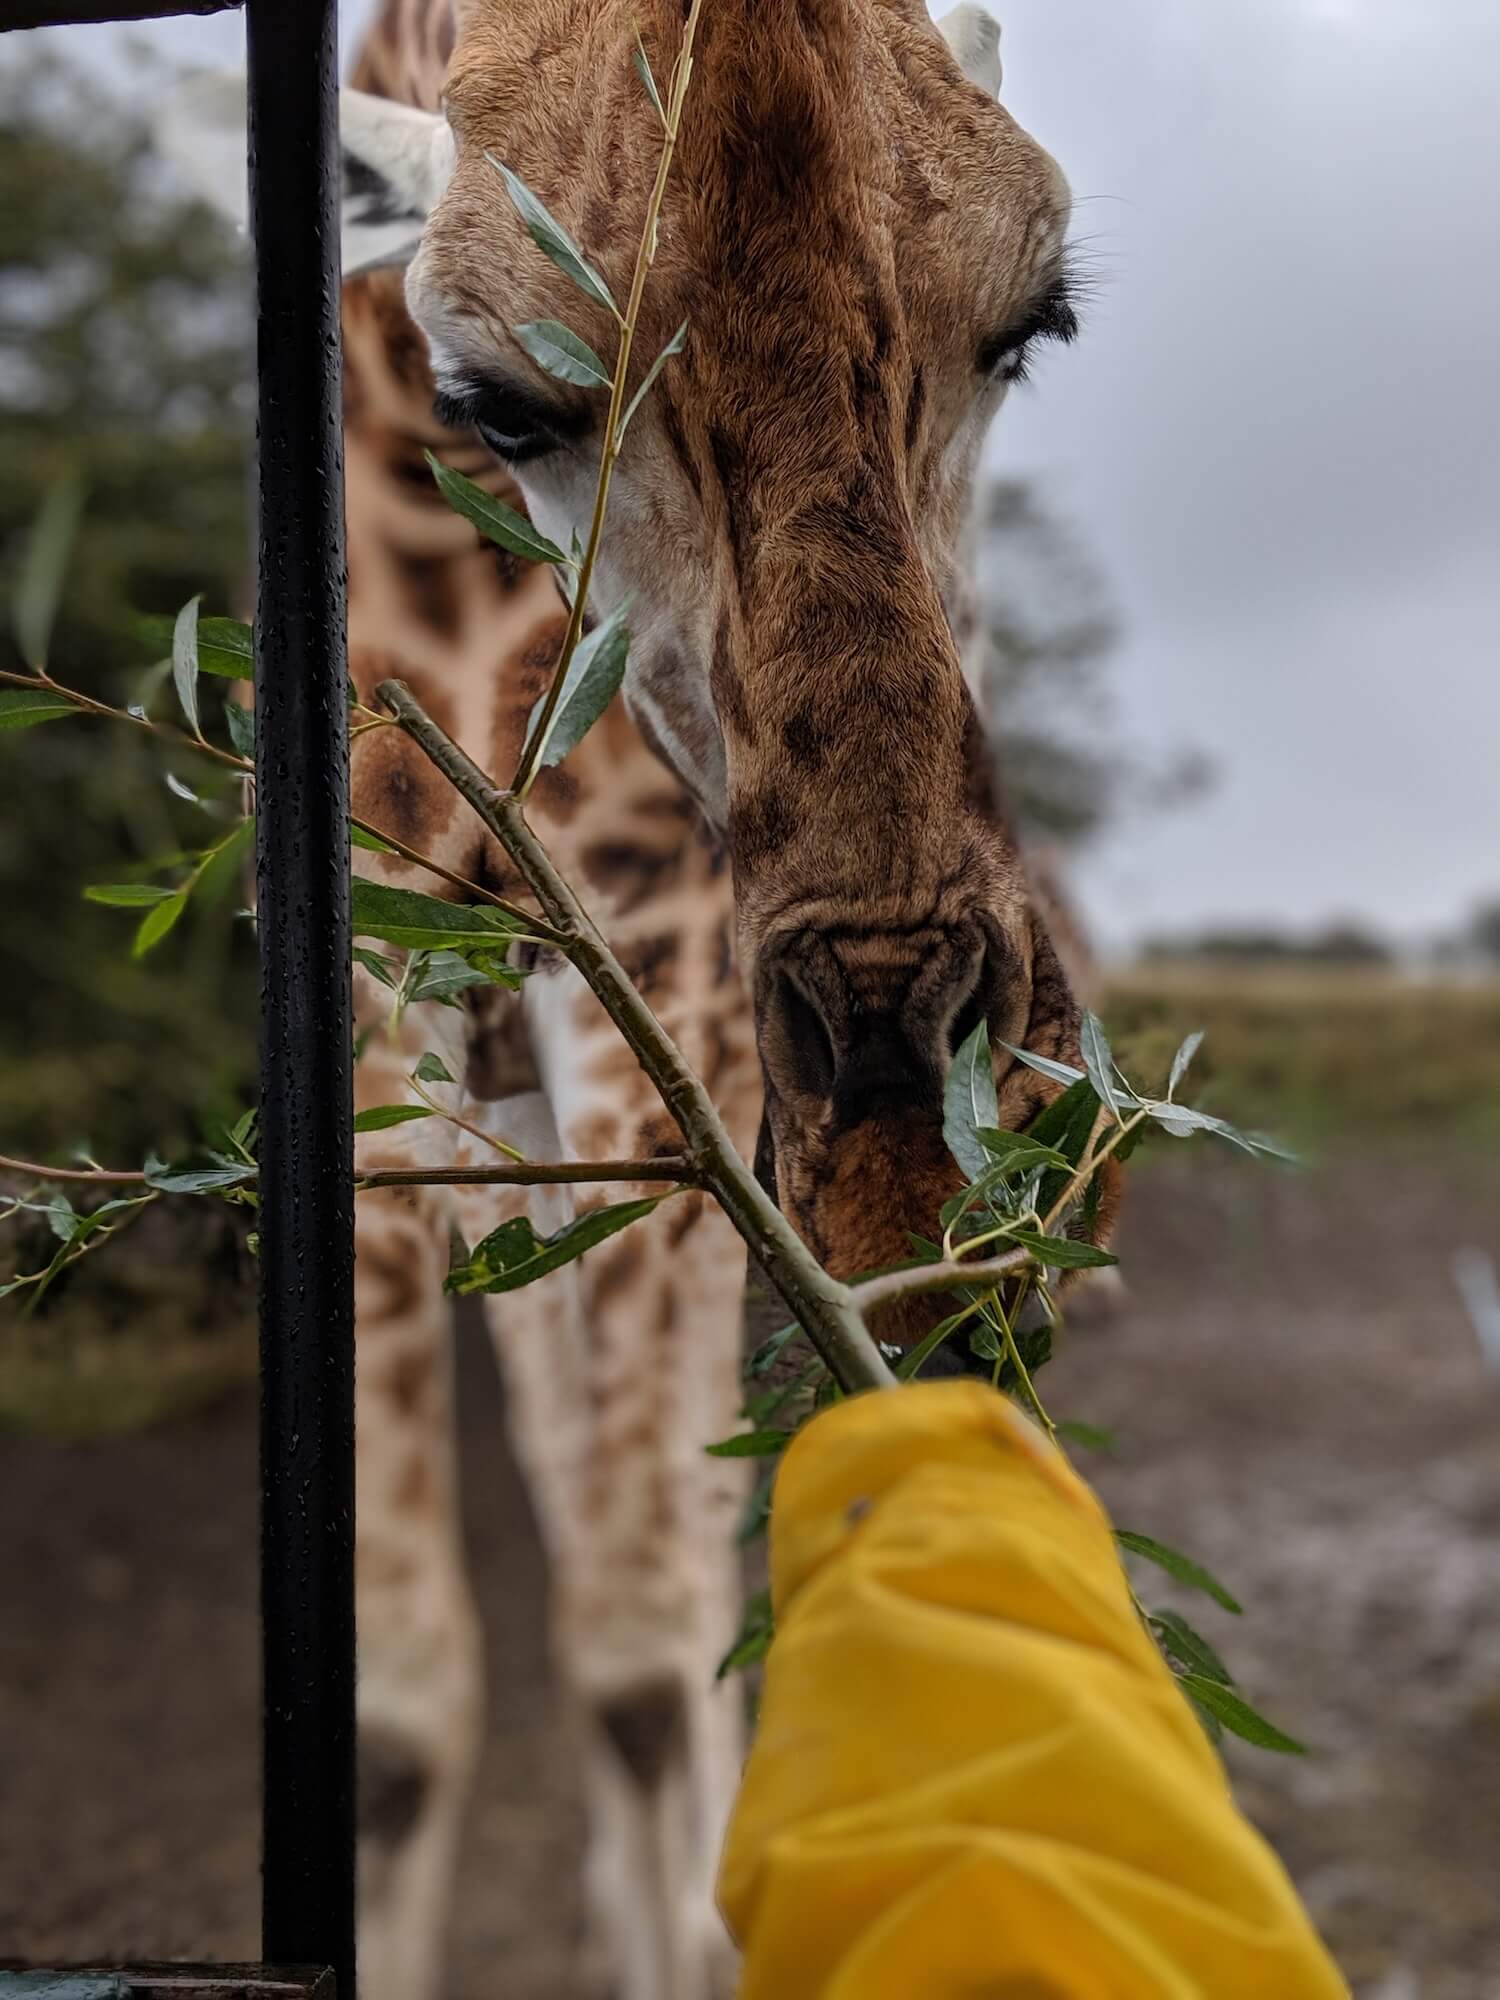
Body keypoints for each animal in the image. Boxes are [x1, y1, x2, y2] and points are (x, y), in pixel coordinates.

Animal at [162, 4, 1095, 1993]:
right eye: (498, 402)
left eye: (1030, 326)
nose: (914, 1119)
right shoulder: (384, 987)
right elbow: (393, 1715)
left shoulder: (659, 976)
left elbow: (646, 1649)